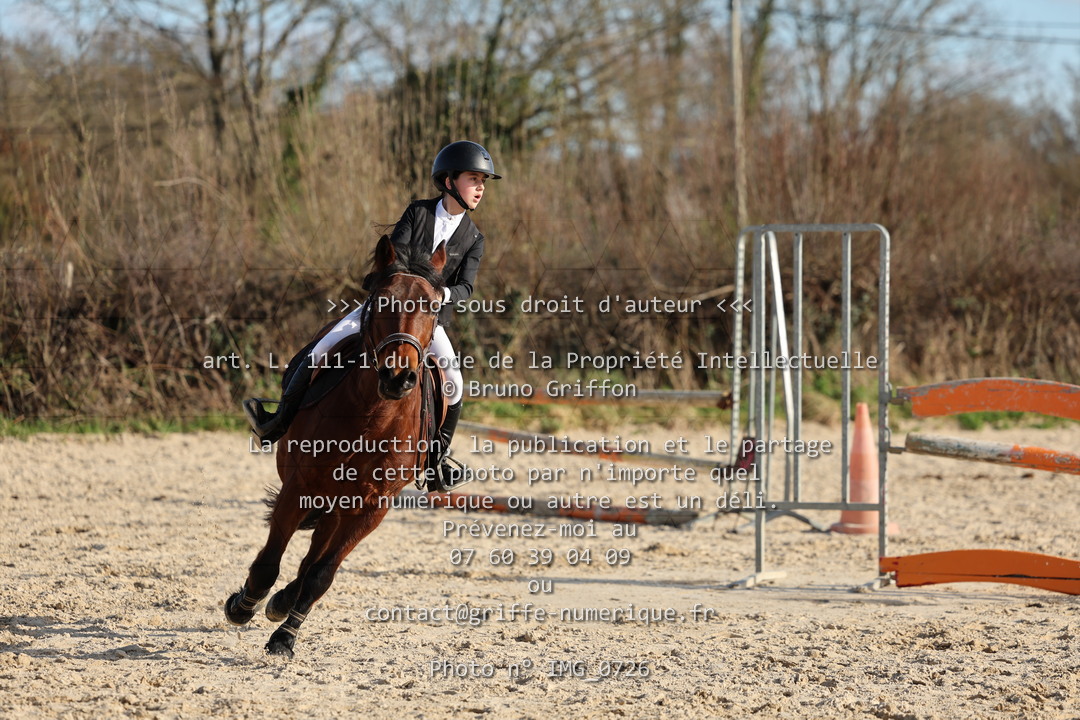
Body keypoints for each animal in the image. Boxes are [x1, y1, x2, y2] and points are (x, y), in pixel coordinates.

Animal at [225, 235, 447, 657]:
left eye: (432, 305)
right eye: (383, 300)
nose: (398, 378)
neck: (372, 415)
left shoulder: (372, 508)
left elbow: (321, 574)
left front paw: (285, 636)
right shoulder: (300, 487)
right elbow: (269, 561)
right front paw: (243, 605)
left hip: (340, 503)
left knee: (313, 557)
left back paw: (284, 603)